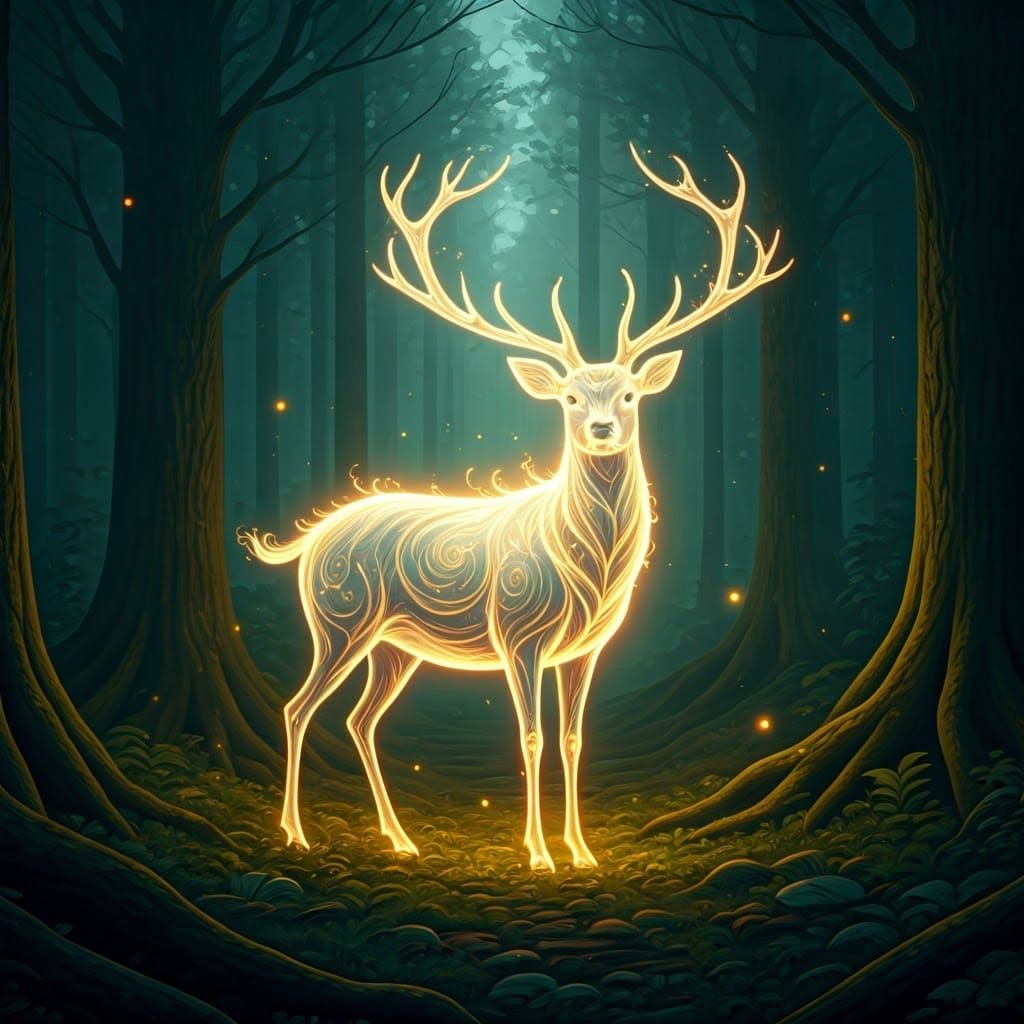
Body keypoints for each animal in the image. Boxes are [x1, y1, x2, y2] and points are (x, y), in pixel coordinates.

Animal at [239, 143, 791, 871]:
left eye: (630, 395)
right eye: (569, 398)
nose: (602, 429)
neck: (591, 568)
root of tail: (311, 538)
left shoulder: (587, 647)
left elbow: (574, 739)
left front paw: (582, 851)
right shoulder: (519, 633)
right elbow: (528, 737)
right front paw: (538, 855)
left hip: (395, 645)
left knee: (360, 719)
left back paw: (400, 838)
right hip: (339, 618)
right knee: (298, 708)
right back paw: (297, 833)